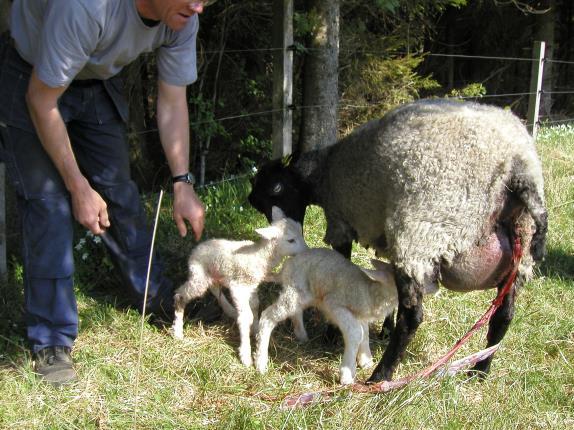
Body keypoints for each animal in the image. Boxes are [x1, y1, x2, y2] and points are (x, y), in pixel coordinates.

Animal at [172, 207, 310, 366]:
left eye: (300, 231)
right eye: (291, 240)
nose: (307, 251)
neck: (260, 256)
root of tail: (195, 249)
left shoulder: (252, 286)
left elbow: (255, 305)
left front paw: (256, 329)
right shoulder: (238, 287)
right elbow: (246, 316)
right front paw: (246, 354)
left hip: (213, 273)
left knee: (215, 288)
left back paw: (230, 310)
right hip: (199, 275)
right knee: (181, 295)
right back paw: (177, 330)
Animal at [256, 247, 400, 384]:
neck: (371, 291)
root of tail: (286, 267)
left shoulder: (360, 315)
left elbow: (365, 333)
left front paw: (366, 361)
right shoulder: (335, 304)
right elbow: (356, 333)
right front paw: (347, 375)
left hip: (301, 294)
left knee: (296, 311)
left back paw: (302, 336)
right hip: (296, 290)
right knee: (268, 316)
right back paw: (261, 363)